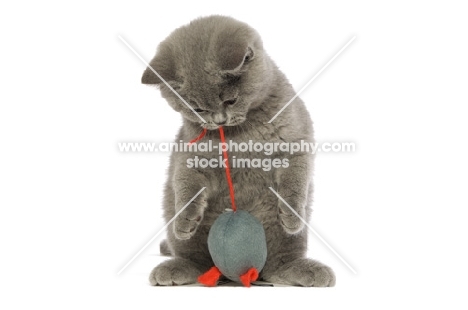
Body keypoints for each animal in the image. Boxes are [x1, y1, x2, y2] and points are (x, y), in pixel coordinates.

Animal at [144, 14, 336, 286]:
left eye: (230, 101)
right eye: (197, 109)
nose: (219, 119)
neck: (240, 134)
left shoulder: (295, 145)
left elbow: (296, 179)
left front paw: (291, 213)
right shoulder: (192, 154)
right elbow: (186, 182)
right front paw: (185, 219)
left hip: (282, 234)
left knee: (278, 264)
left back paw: (305, 269)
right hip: (179, 221)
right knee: (195, 259)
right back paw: (175, 267)